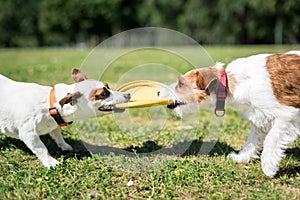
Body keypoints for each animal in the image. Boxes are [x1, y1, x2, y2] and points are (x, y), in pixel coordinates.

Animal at [0, 69, 131, 167]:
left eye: (108, 86)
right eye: (103, 94)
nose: (128, 94)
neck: (49, 105)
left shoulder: (53, 125)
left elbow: (57, 134)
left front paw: (64, 145)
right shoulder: (28, 133)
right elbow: (41, 148)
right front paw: (50, 162)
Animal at [158, 50, 298, 177]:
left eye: (181, 83)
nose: (158, 92)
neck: (231, 83)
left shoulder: (287, 114)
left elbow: (271, 139)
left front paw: (269, 166)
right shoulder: (260, 118)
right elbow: (252, 140)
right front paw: (242, 157)